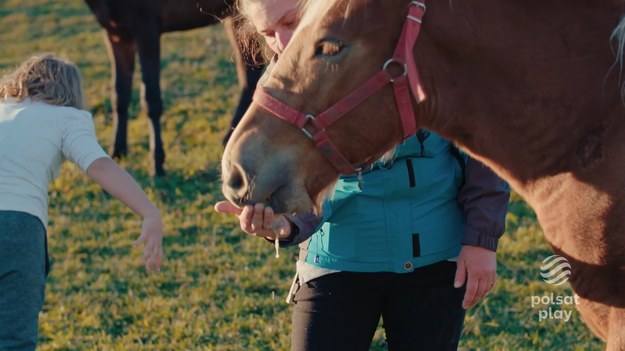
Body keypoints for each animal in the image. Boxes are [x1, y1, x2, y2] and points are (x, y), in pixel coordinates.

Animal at [84, 0, 260, 176]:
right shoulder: (116, 35)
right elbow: (119, 95)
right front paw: (117, 153)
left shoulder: (147, 28)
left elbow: (151, 100)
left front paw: (157, 163)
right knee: (250, 73)